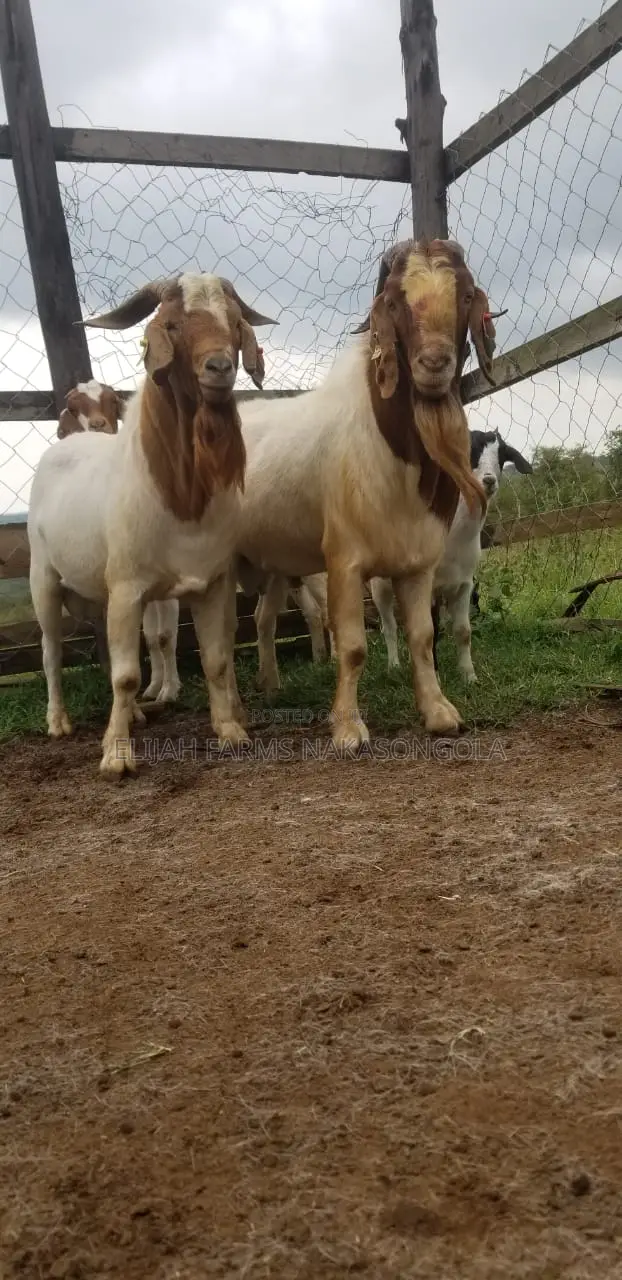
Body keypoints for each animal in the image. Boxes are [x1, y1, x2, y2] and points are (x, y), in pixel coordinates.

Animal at [28, 272, 276, 778]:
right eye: (174, 324)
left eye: (233, 320)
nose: (220, 368)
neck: (180, 497)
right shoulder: (127, 588)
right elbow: (127, 675)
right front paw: (116, 756)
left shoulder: (211, 582)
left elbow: (216, 658)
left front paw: (230, 731)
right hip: (42, 578)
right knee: (51, 651)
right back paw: (59, 721)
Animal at [233, 237, 505, 748]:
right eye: (394, 302)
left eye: (464, 296)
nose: (434, 364)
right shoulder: (344, 559)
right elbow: (355, 646)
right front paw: (347, 728)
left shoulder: (418, 562)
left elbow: (423, 637)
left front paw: (439, 711)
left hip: (274, 563)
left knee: (260, 619)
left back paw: (269, 685)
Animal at [370, 428, 532, 680]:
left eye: (503, 454)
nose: (488, 481)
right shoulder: (428, 587)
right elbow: (432, 630)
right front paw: (434, 675)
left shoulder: (465, 584)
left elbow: (463, 631)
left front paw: (469, 675)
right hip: (379, 585)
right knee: (389, 626)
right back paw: (394, 665)